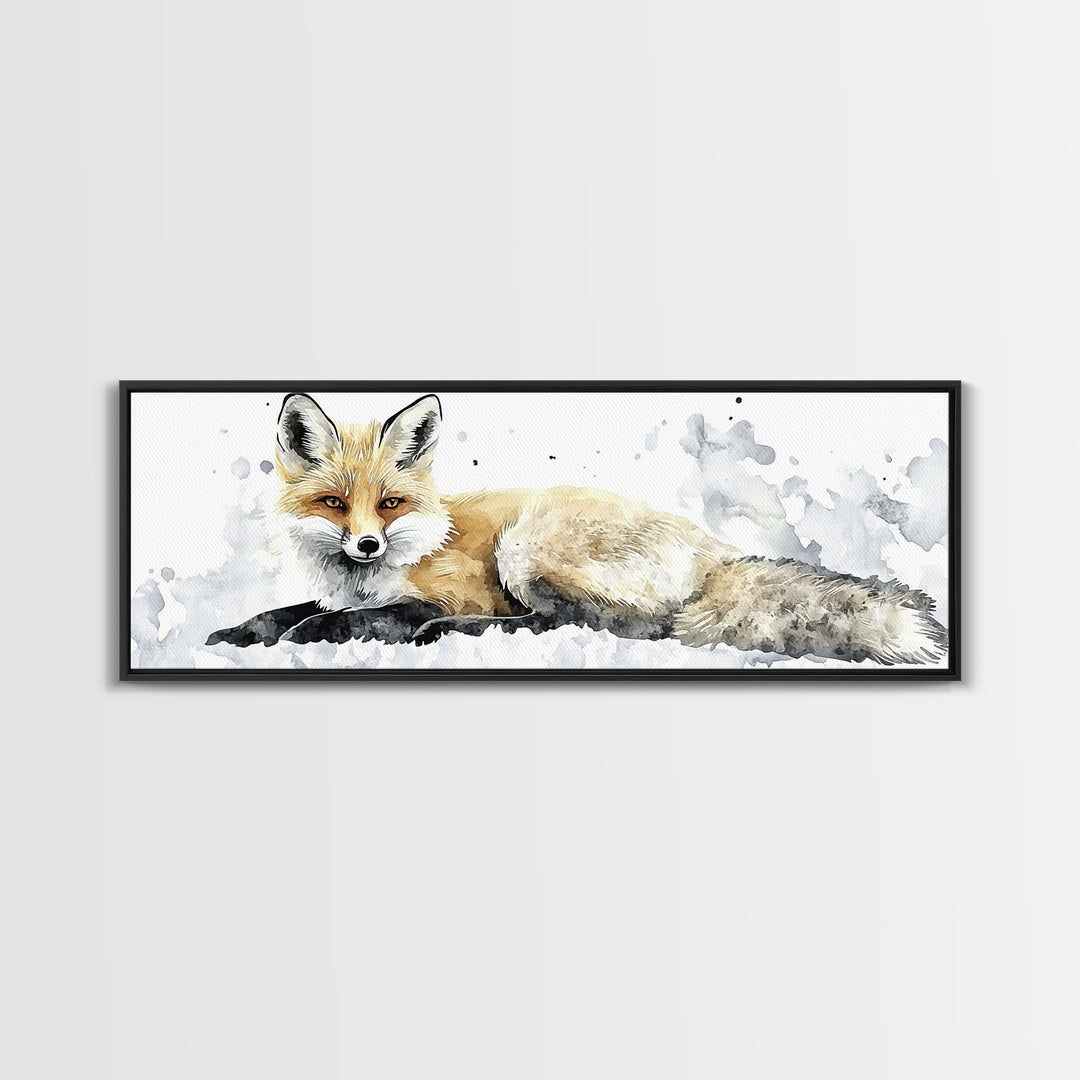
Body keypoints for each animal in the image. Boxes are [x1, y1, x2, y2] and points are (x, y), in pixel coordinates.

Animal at [207, 393, 948, 664]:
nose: (366, 543)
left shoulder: (447, 588)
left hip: (525, 550)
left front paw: (317, 634)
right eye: (335, 503)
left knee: (585, 623)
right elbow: (281, 611)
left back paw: (446, 634)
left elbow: (362, 617)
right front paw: (235, 635)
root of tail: (713, 553)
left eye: (388, 504)